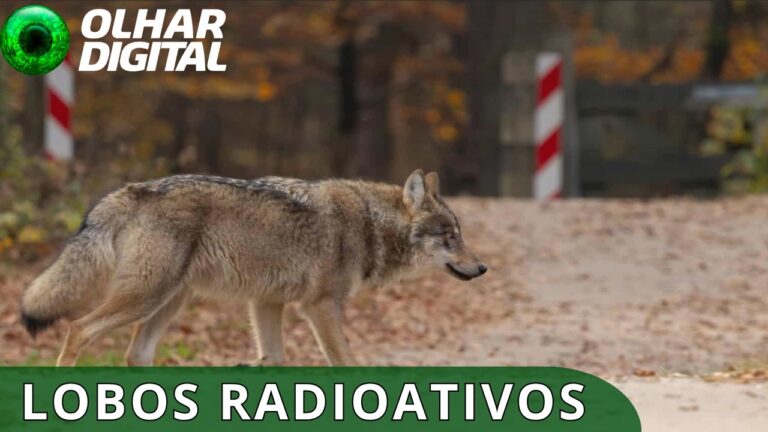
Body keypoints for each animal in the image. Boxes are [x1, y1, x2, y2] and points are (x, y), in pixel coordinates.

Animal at [20, 169, 487, 366]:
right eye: (450, 236)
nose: (481, 268)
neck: (369, 223)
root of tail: (134, 190)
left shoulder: (267, 304)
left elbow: (274, 361)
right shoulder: (319, 308)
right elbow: (349, 365)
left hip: (169, 303)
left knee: (136, 354)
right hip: (146, 298)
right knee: (78, 329)